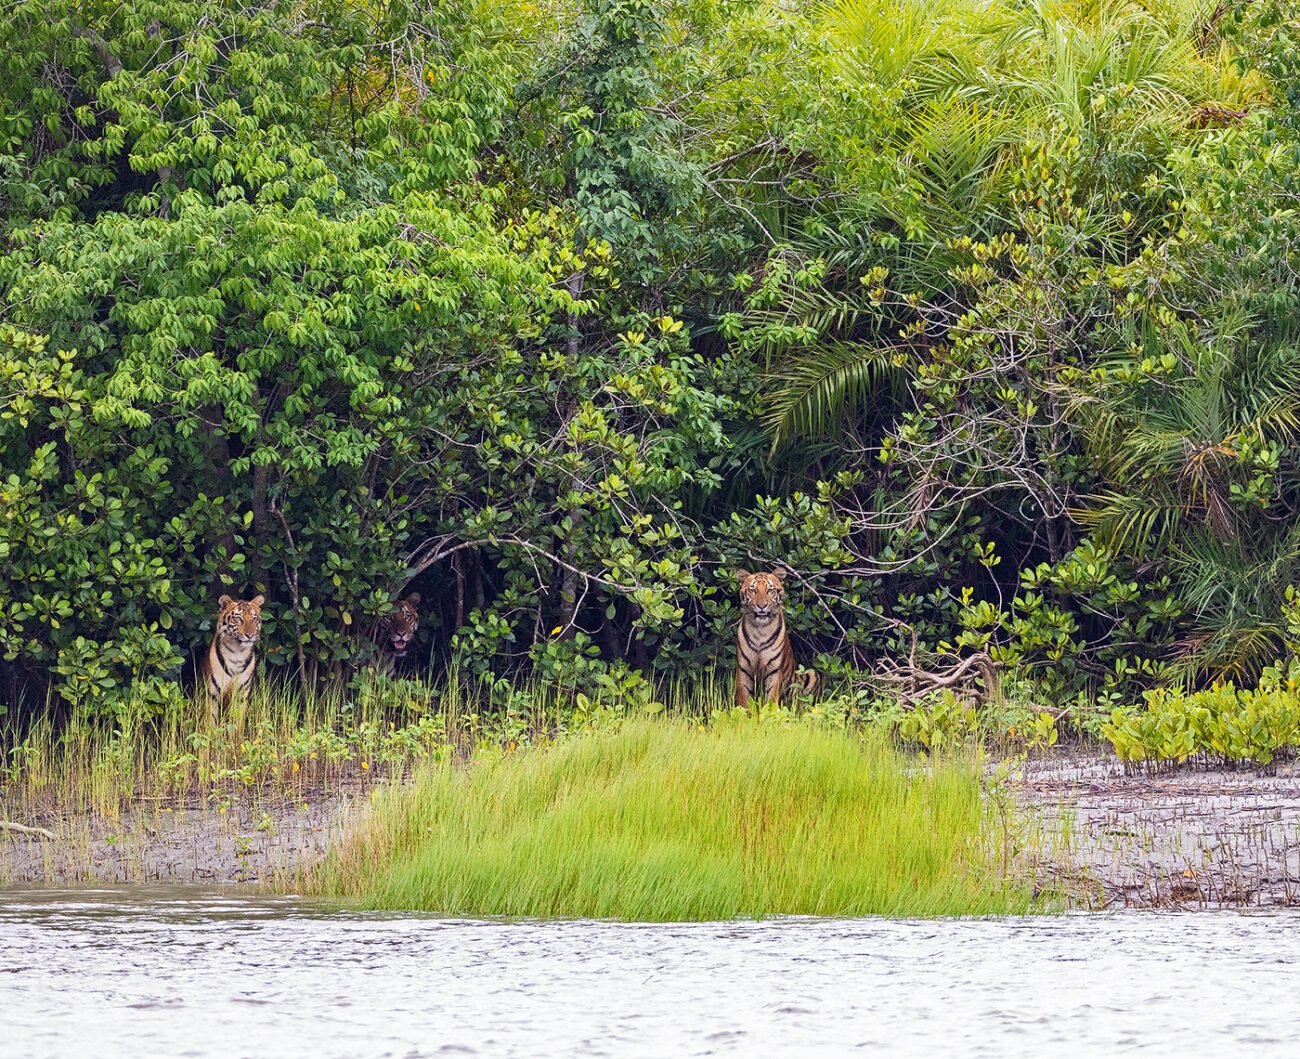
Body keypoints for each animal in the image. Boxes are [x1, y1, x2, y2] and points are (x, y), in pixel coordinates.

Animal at [735, 569, 821, 709]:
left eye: (770, 590)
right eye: (753, 590)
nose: (762, 606)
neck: (760, 629)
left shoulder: (774, 670)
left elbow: (771, 698)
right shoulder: (744, 668)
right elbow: (744, 699)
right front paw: (743, 713)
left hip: (812, 674)